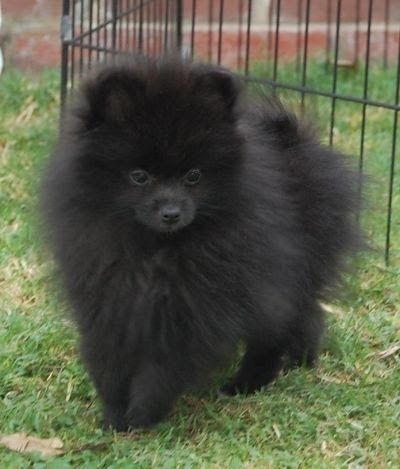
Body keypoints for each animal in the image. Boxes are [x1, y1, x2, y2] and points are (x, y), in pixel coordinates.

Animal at [42, 56, 360, 430]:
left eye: (193, 176)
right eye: (139, 176)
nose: (171, 212)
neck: (156, 250)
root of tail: (297, 144)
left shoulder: (199, 307)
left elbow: (165, 366)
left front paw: (144, 413)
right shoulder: (107, 296)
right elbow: (110, 360)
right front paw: (115, 414)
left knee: (278, 328)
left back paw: (249, 381)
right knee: (306, 315)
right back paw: (300, 359)